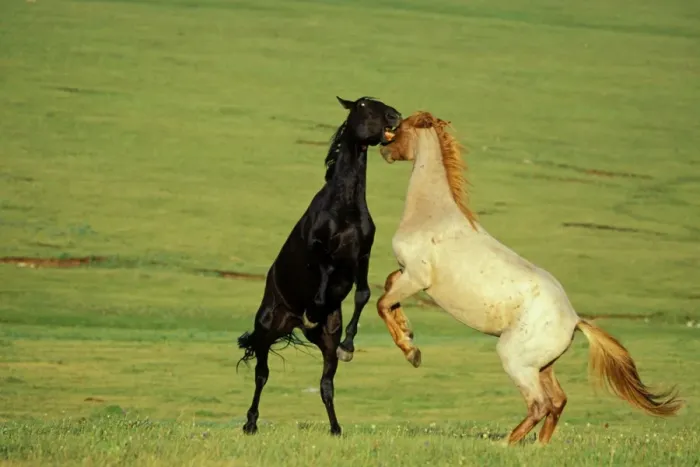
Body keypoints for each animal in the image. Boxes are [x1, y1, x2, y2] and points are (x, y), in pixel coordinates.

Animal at [237, 96, 402, 436]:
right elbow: (324, 275)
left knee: (326, 384)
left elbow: (363, 294)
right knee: (261, 374)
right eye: (363, 105)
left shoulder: (363, 255)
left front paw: (349, 346)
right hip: (266, 329)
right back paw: (250, 423)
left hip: (324, 342)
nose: (396, 116)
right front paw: (313, 310)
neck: (345, 207)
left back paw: (336, 429)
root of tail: (290, 324)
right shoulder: (318, 250)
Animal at [375, 111, 682, 445]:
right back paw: (538, 447)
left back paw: (506, 445)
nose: (383, 150)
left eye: (399, 128)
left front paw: (411, 352)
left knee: (540, 404)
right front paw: (408, 331)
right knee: (558, 401)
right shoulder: (406, 273)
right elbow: (389, 288)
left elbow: (382, 303)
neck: (432, 214)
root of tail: (574, 320)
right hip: (543, 365)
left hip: (516, 360)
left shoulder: (417, 278)